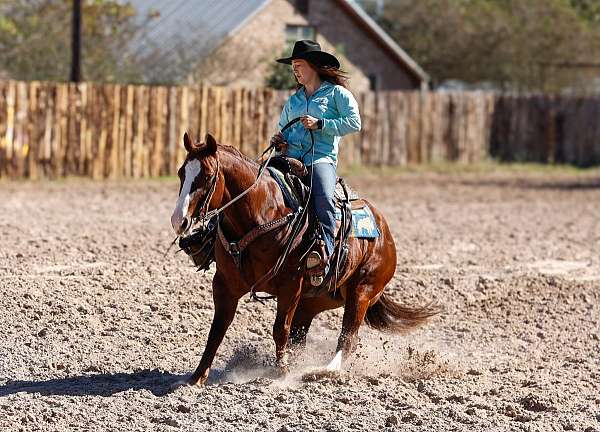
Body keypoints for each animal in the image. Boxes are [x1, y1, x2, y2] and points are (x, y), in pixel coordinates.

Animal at [171, 132, 438, 384]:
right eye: (181, 172)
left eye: (207, 176)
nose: (178, 221)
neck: (262, 214)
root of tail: (384, 230)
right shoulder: (225, 284)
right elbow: (217, 330)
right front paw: (196, 377)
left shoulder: (290, 285)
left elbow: (280, 329)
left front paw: (282, 375)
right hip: (312, 301)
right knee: (301, 338)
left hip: (362, 290)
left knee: (348, 338)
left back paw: (322, 371)